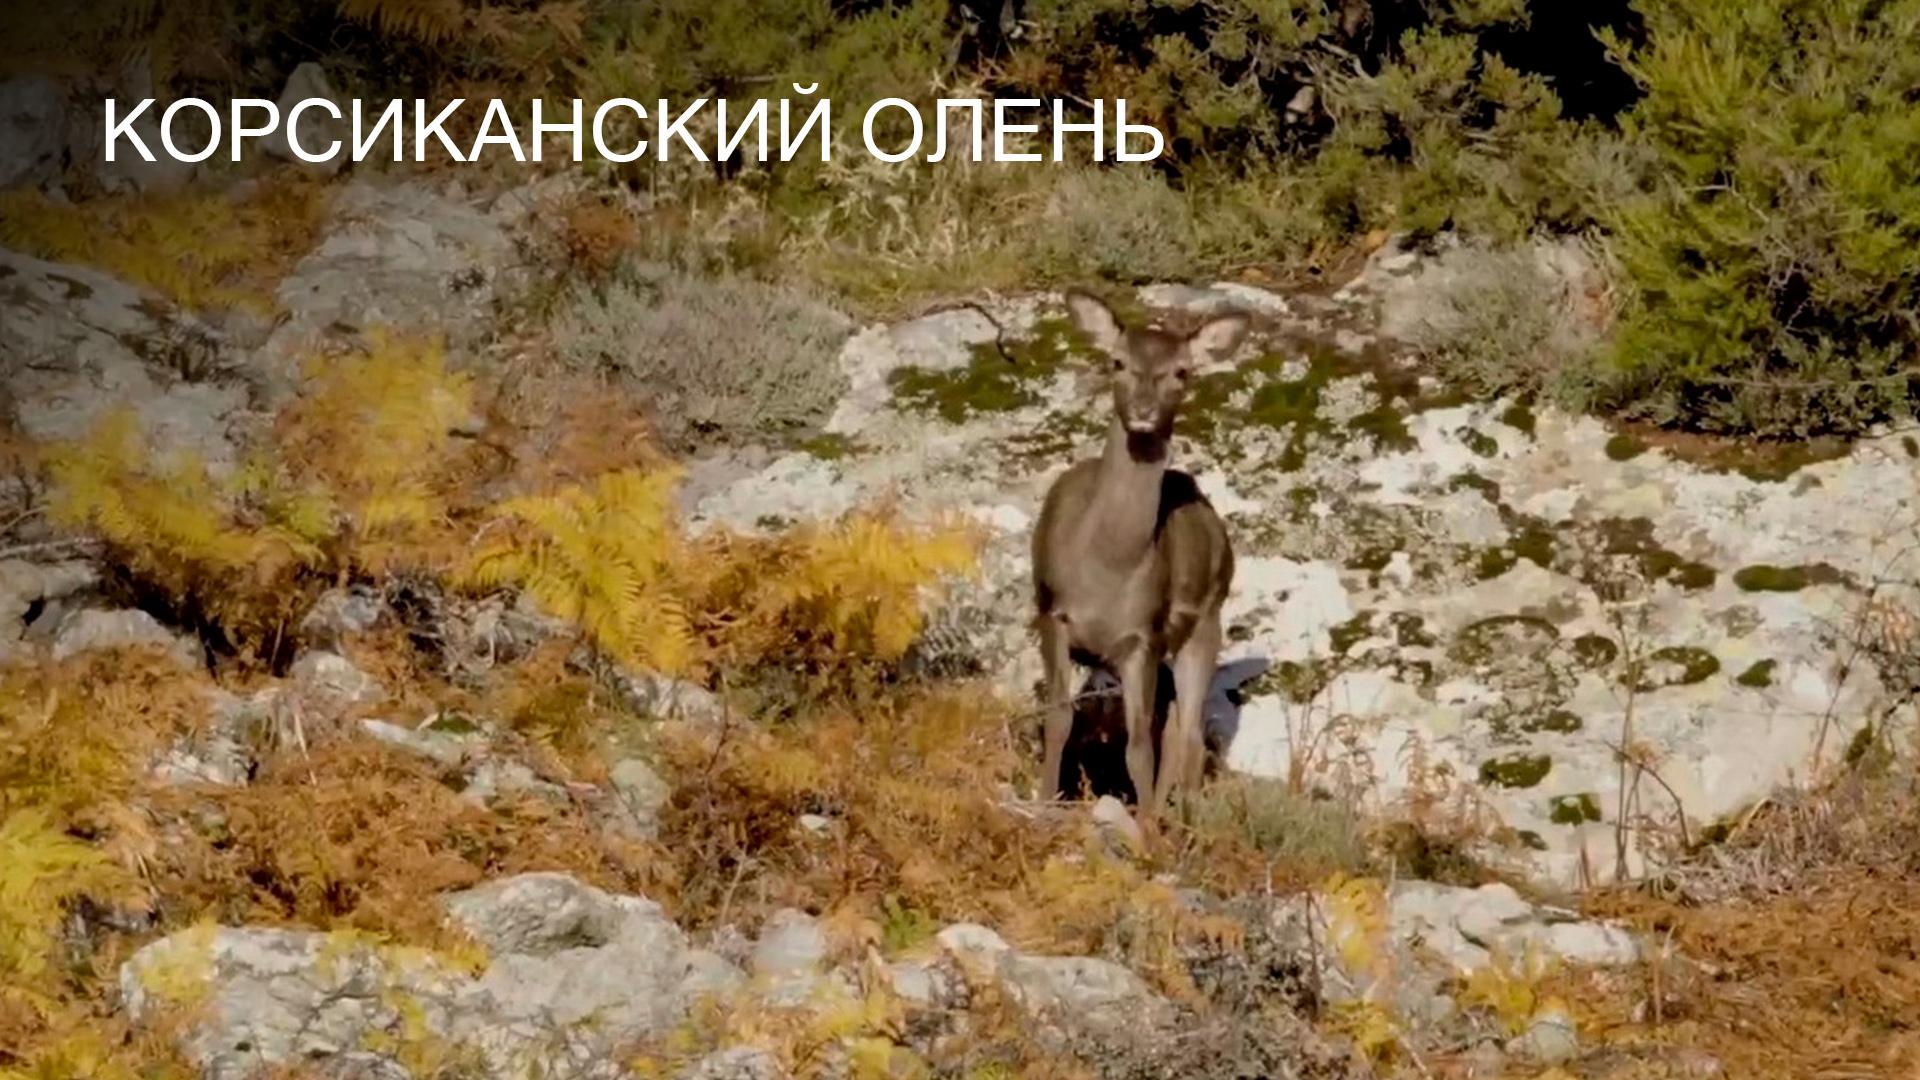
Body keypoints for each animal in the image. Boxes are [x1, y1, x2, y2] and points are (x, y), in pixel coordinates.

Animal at [1030, 289, 1248, 827]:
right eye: (1118, 361)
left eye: (1181, 371)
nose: (1145, 409)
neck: (1106, 571)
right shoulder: (1051, 612)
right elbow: (1059, 719)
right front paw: (1042, 803)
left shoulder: (1141, 639)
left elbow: (1138, 747)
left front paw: (1147, 829)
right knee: (1176, 726)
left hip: (1207, 619)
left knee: (1186, 731)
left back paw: (1180, 819)